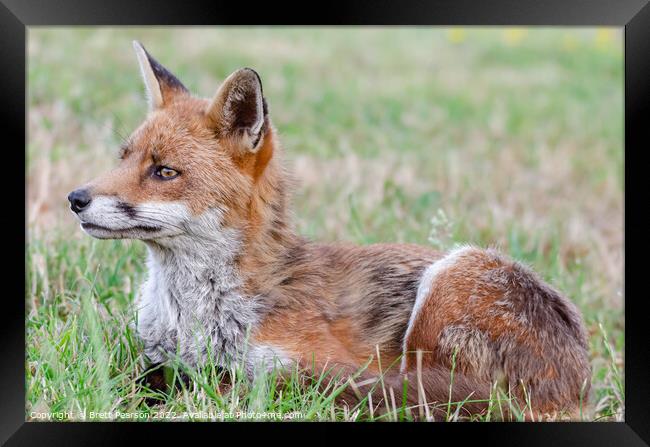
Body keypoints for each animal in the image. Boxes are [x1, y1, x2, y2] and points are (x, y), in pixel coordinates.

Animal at [68, 41, 588, 420]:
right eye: (124, 158)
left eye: (164, 172)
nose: (76, 199)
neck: (192, 318)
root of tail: (582, 382)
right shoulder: (155, 353)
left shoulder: (306, 365)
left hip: (450, 283)